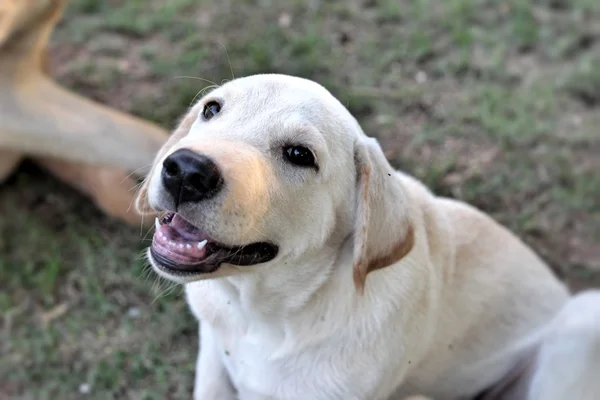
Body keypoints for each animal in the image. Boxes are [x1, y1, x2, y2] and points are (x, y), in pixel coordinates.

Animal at [136, 75, 600, 400]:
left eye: (299, 154)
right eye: (211, 109)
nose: (186, 171)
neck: (266, 315)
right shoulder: (213, 355)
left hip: (581, 318)